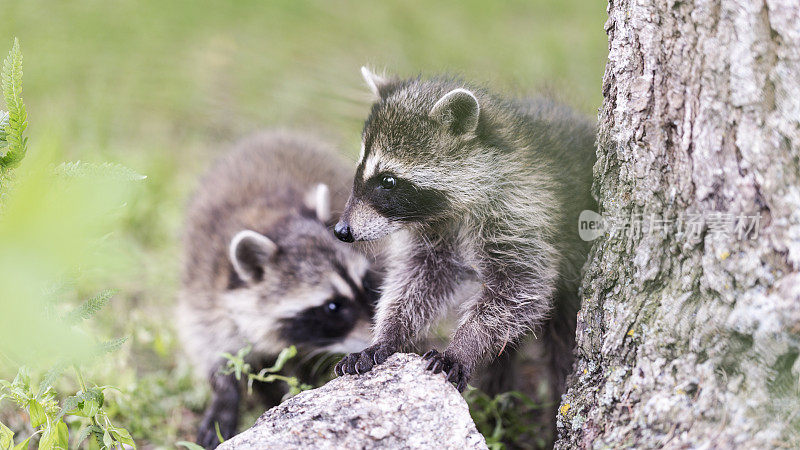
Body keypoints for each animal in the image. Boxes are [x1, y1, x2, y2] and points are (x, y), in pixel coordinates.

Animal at [180, 130, 380, 446]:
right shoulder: (203, 287)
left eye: (366, 284)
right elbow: (208, 345)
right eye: (333, 307)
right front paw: (225, 396)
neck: (275, 220)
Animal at [332, 69, 592, 404]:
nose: (342, 231)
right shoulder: (433, 232)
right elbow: (417, 280)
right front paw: (388, 333)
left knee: (562, 342)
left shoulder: (524, 214)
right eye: (358, 173)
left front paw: (464, 345)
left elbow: (517, 292)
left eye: (387, 181)